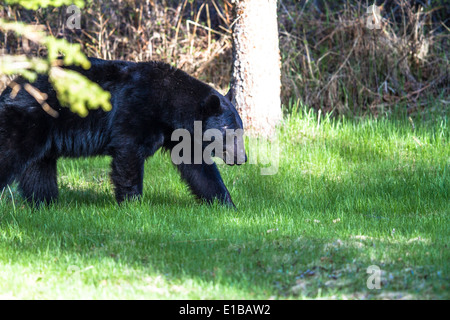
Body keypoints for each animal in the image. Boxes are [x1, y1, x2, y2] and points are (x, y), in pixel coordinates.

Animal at [0, 57, 246, 208]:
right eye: (228, 130)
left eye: (241, 131)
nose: (242, 158)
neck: (168, 102)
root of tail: (9, 89)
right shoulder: (135, 110)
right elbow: (128, 154)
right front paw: (133, 205)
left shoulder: (182, 136)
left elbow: (200, 169)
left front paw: (227, 205)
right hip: (28, 119)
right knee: (11, 154)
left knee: (39, 168)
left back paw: (45, 203)